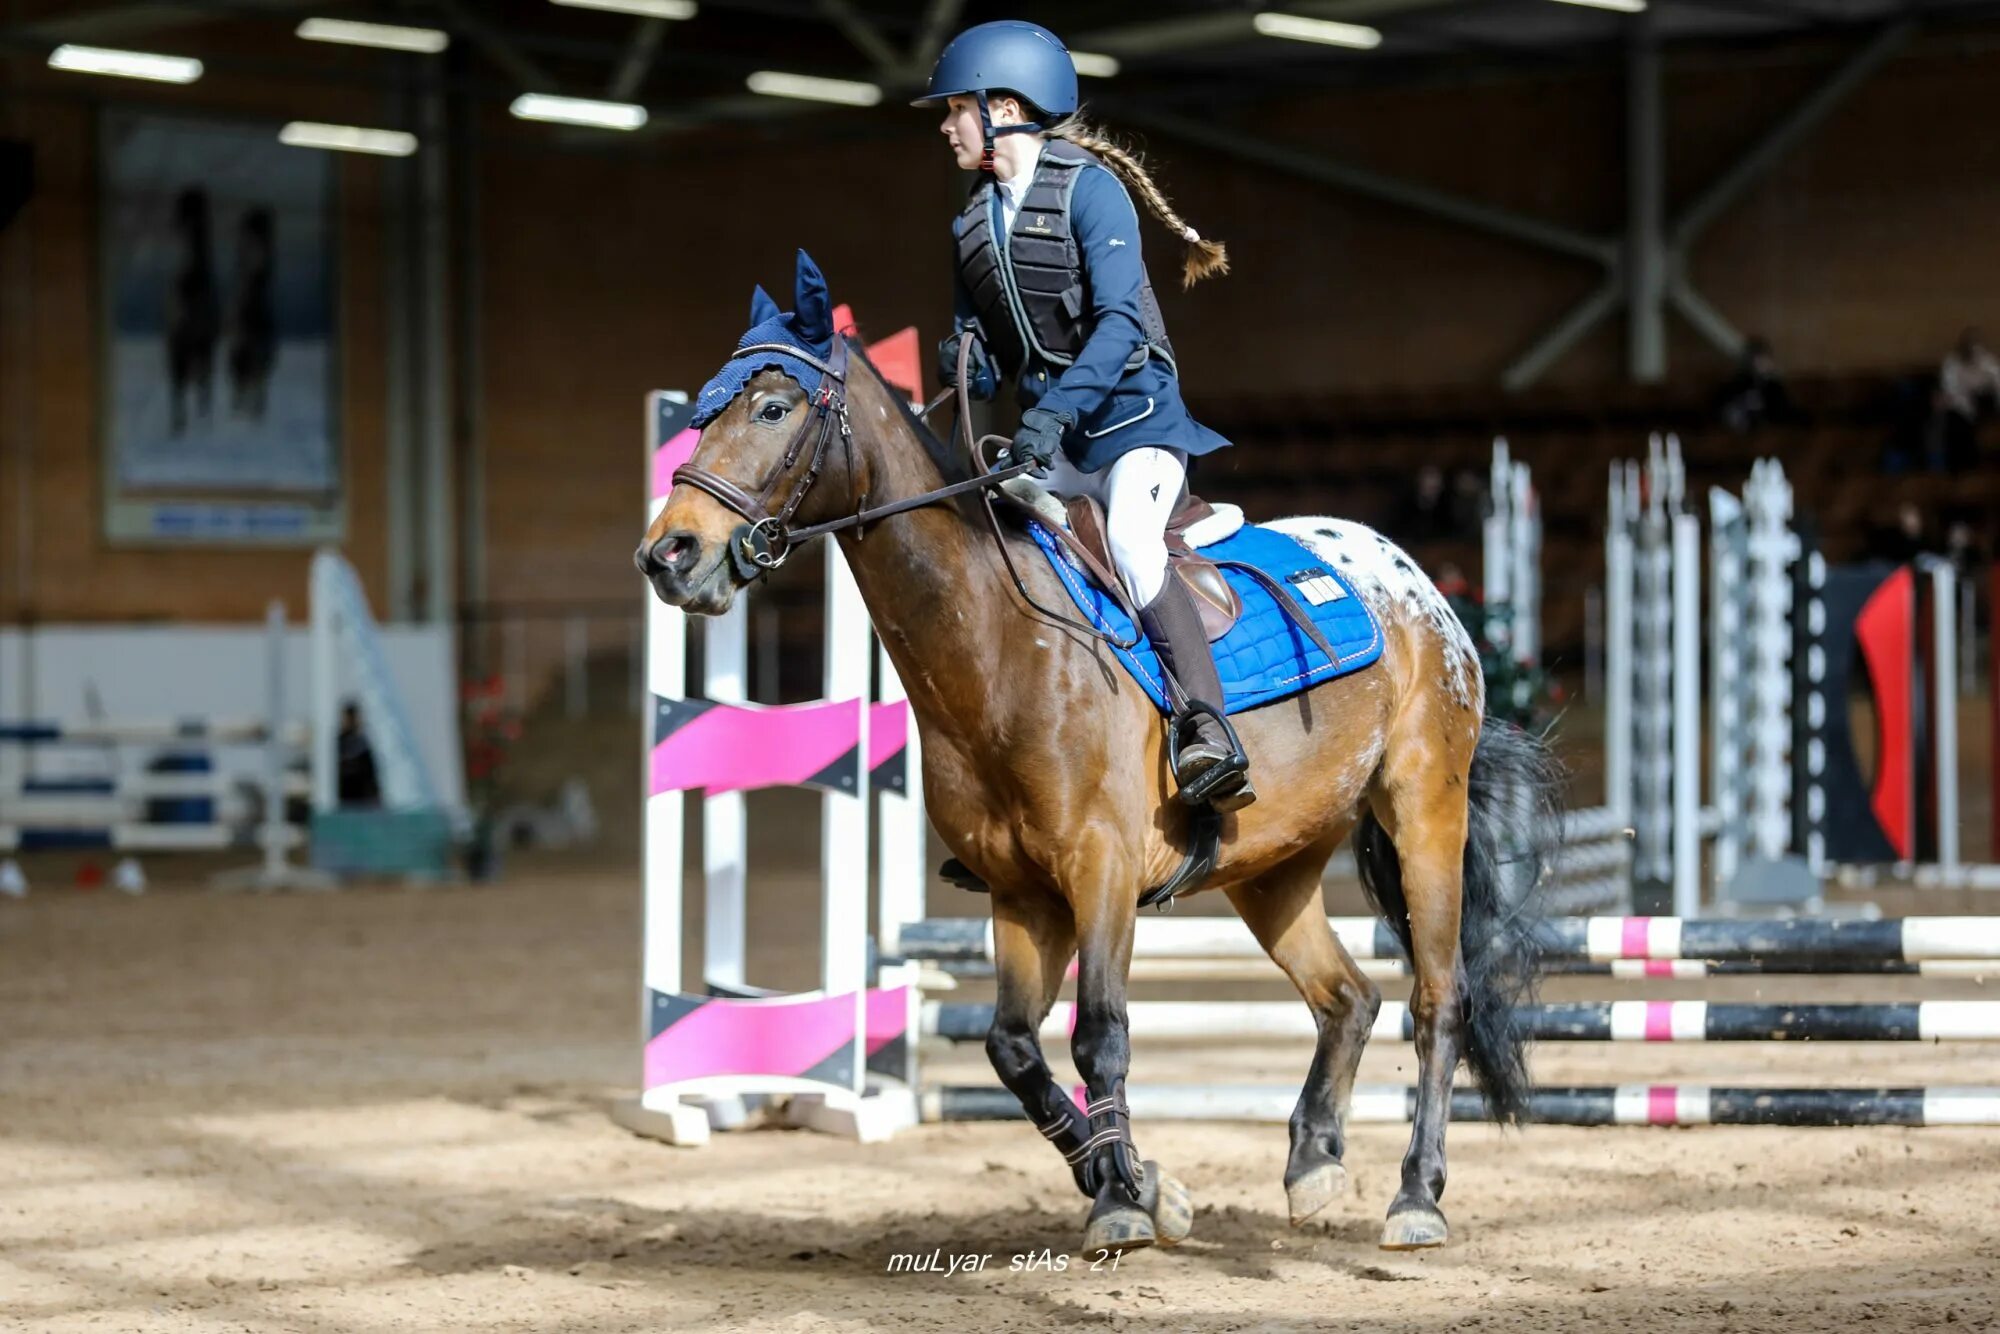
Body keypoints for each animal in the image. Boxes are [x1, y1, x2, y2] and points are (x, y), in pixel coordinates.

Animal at [640, 318, 1560, 1256]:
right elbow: (1013, 1048)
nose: (669, 555)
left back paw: (1416, 1198)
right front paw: (1145, 1185)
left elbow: (1100, 1035)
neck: (998, 647)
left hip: (1425, 815)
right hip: (1274, 865)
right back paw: (1313, 1164)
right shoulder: (1020, 894)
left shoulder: (1102, 869)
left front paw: (1121, 1200)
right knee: (1348, 997)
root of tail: (1418, 584)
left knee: (1437, 1000)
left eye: (773, 408)